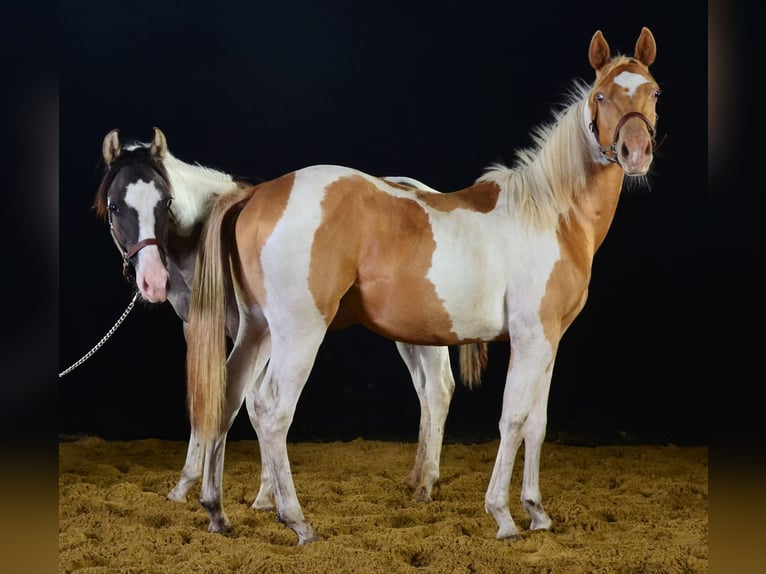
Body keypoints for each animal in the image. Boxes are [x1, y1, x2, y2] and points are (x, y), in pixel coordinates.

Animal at [93, 128, 483, 511]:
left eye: (166, 202)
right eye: (115, 206)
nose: (154, 281)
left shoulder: (257, 331)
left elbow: (252, 403)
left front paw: (265, 495)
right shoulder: (197, 327)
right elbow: (205, 398)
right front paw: (184, 486)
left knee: (438, 388)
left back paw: (427, 484)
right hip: (408, 330)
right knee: (424, 390)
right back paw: (415, 476)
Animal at [187, 27, 663, 544]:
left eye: (654, 92)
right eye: (601, 96)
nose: (636, 153)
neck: (550, 213)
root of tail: (259, 192)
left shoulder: (550, 340)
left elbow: (537, 424)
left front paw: (537, 512)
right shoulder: (531, 338)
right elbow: (513, 419)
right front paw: (503, 515)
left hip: (257, 329)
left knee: (227, 397)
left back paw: (216, 510)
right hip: (298, 334)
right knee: (272, 412)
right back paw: (296, 519)